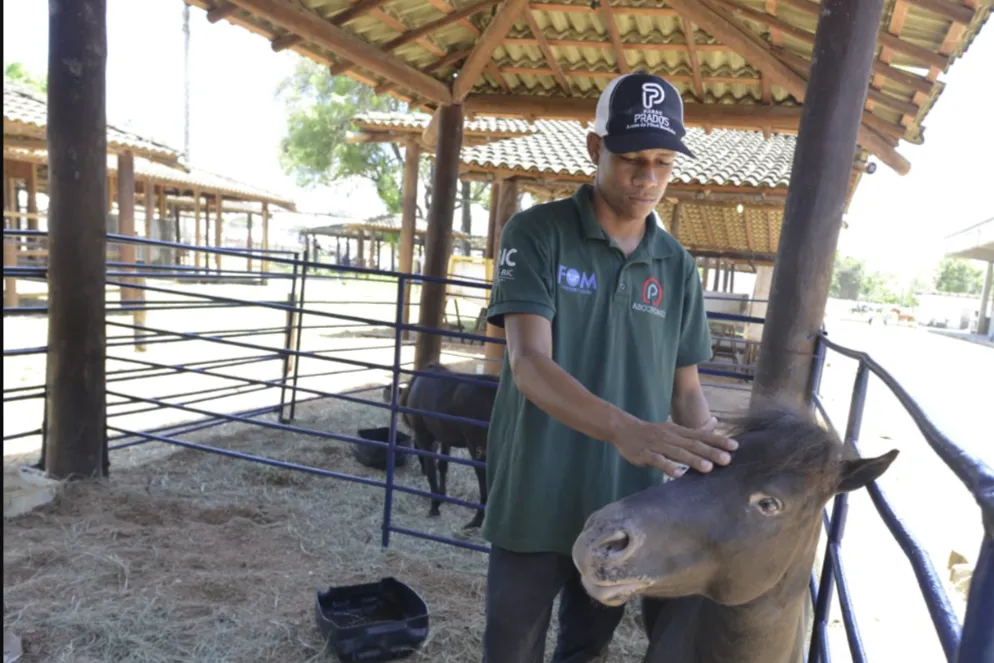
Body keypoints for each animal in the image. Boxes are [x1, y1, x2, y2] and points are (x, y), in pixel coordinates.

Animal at [384, 364, 500, 528]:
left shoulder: (424, 437)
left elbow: (432, 470)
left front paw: (435, 505)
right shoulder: (445, 439)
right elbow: (442, 466)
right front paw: (442, 496)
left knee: (484, 481)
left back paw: (477, 520)